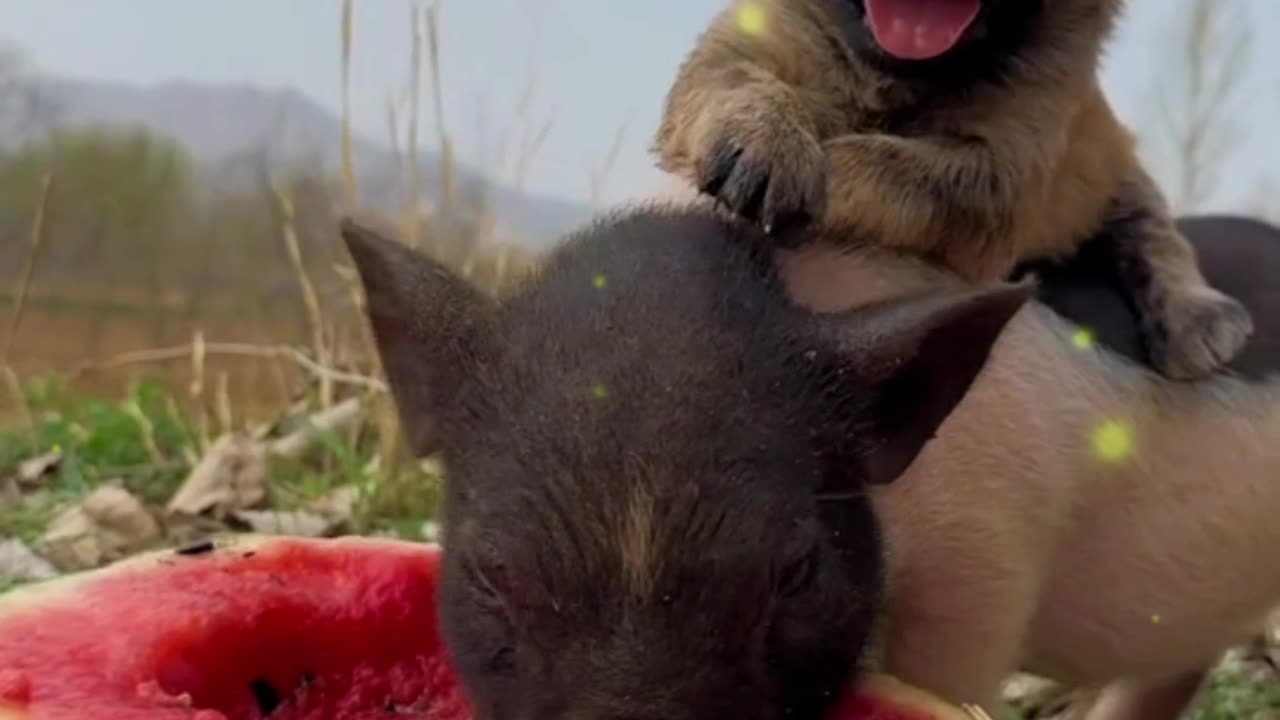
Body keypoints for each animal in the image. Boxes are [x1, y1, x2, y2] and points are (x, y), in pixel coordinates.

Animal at [655, 0, 1254, 381]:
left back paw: (1196, 316)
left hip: (1113, 167)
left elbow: (892, 164)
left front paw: (825, 167)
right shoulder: (744, 42)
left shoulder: (1005, 166)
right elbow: (738, 80)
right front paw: (770, 137)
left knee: (1151, 229)